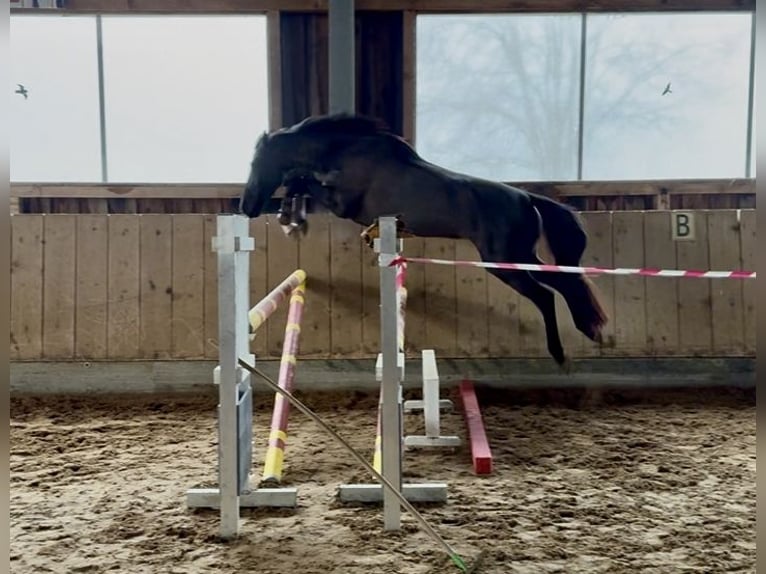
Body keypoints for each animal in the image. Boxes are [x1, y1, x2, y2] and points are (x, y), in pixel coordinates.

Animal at [239, 113, 608, 371]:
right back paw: (590, 329)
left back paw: (560, 354)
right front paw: (291, 219)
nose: (246, 206)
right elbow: (299, 181)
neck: (345, 153)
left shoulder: (344, 204)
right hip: (519, 256)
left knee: (545, 295)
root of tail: (527, 199)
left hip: (503, 261)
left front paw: (291, 219)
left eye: (255, 162)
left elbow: (299, 180)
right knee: (565, 282)